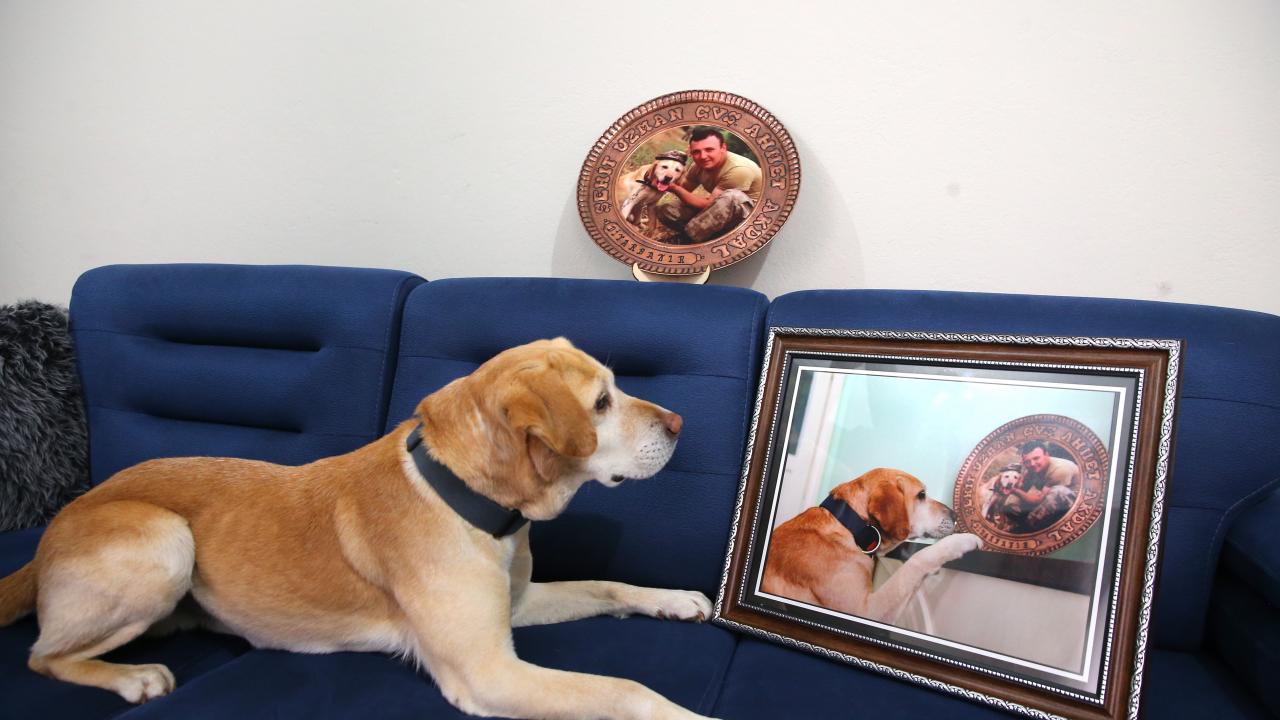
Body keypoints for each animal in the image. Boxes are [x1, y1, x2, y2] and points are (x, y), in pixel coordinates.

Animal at [0, 338, 716, 720]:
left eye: (616, 390)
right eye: (601, 404)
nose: (682, 422)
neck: (480, 506)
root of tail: (52, 529)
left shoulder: (514, 610)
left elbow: (607, 586)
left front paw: (674, 599)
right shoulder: (487, 670)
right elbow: (626, 691)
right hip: (164, 543)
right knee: (41, 654)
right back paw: (132, 677)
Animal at [761, 468, 982, 624]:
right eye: (921, 495)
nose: (955, 515)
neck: (850, 528)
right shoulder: (865, 611)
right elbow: (916, 561)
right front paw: (962, 541)